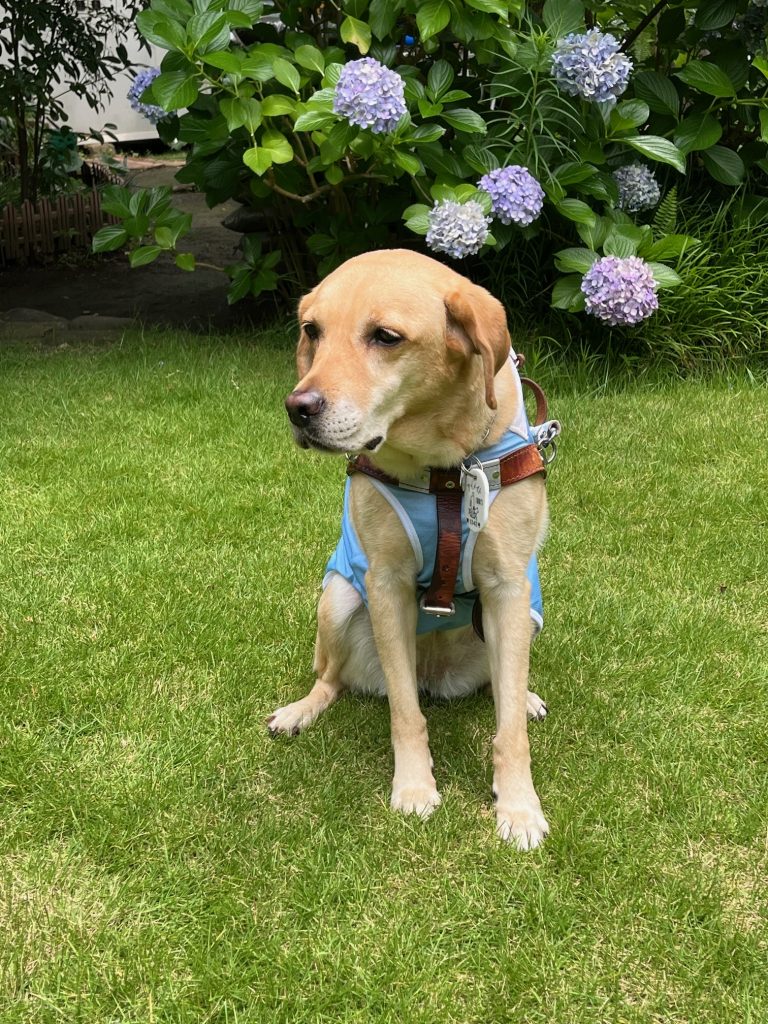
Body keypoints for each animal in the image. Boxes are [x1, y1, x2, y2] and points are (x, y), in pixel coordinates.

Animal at [270, 247, 552, 847]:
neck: (444, 467)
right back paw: (301, 710)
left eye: (385, 336)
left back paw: (524, 697)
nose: (298, 407)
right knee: (331, 678)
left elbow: (510, 730)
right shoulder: (385, 584)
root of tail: (435, 675)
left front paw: (518, 806)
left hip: (529, 616)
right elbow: (405, 712)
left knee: (503, 686)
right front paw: (415, 787)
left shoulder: (509, 587)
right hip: (337, 598)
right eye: (313, 331)